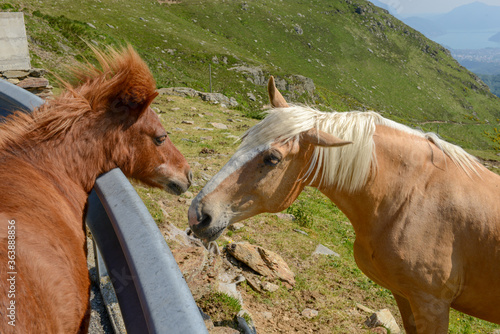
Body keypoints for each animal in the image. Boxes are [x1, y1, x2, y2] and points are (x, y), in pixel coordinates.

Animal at [188, 77, 500, 332]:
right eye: (245, 139)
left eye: (272, 158)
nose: (198, 214)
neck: (411, 197)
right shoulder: (405, 297)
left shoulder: (432, 304)